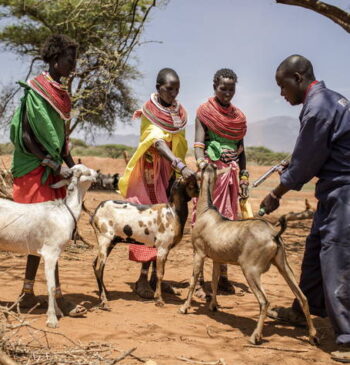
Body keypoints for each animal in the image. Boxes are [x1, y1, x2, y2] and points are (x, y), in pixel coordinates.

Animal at [0, 164, 96, 328]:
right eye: (86, 172)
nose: (97, 175)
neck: (64, 212)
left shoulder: (56, 253)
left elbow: (54, 282)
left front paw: (57, 311)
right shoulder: (50, 253)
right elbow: (50, 286)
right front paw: (52, 319)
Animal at [91, 176, 198, 308]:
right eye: (191, 185)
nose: (199, 193)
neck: (172, 212)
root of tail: (96, 212)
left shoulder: (163, 249)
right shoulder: (162, 248)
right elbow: (160, 274)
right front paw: (159, 299)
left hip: (111, 242)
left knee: (96, 265)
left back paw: (105, 294)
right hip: (104, 239)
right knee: (99, 268)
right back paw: (104, 301)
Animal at [179, 164, 318, 346]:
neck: (206, 210)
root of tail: (273, 234)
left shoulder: (199, 253)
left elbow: (193, 280)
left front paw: (184, 307)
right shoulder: (217, 258)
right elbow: (215, 281)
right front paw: (213, 306)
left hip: (251, 270)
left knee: (264, 301)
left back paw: (255, 337)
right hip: (283, 264)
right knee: (303, 297)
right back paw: (313, 336)